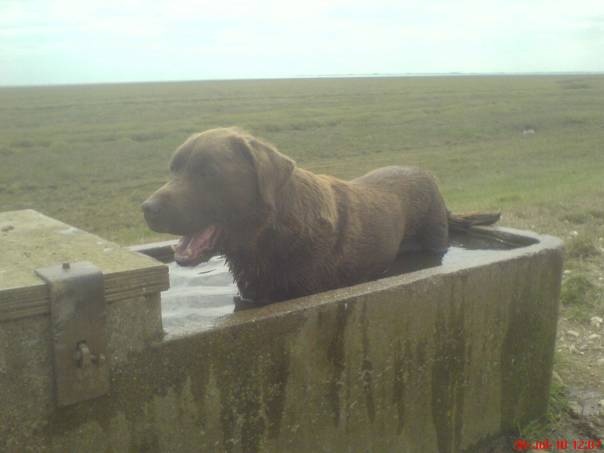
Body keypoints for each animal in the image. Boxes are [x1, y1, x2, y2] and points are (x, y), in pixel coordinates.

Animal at [143, 127, 500, 304]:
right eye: (173, 169)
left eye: (208, 172)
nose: (147, 208)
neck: (274, 236)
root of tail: (429, 176)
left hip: (434, 241)